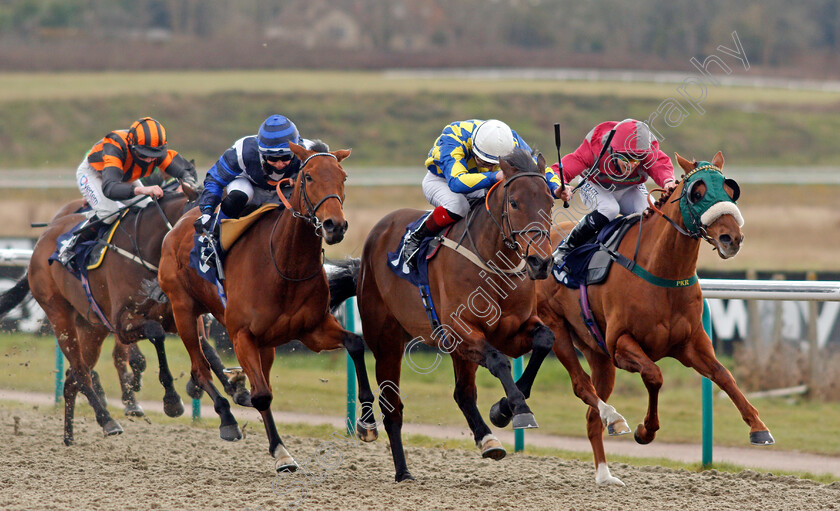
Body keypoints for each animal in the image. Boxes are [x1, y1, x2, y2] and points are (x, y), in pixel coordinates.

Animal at [160, 141, 374, 472]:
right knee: (200, 369)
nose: (334, 225)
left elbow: (354, 343)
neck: (284, 266)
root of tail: (178, 225)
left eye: (343, 177)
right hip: (183, 311)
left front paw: (367, 422)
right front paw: (281, 452)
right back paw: (227, 419)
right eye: (309, 177)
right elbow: (261, 396)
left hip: (267, 345)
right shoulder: (241, 336)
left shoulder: (314, 329)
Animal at [520, 151, 776, 484]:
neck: (662, 272)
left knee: (592, 415)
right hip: (558, 329)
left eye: (731, 190)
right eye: (697, 193)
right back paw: (614, 420)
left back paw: (605, 474)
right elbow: (655, 375)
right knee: (581, 386)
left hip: (597, 353)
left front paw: (759, 428)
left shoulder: (692, 344)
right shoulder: (621, 345)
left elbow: (724, 375)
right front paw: (646, 430)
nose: (730, 238)